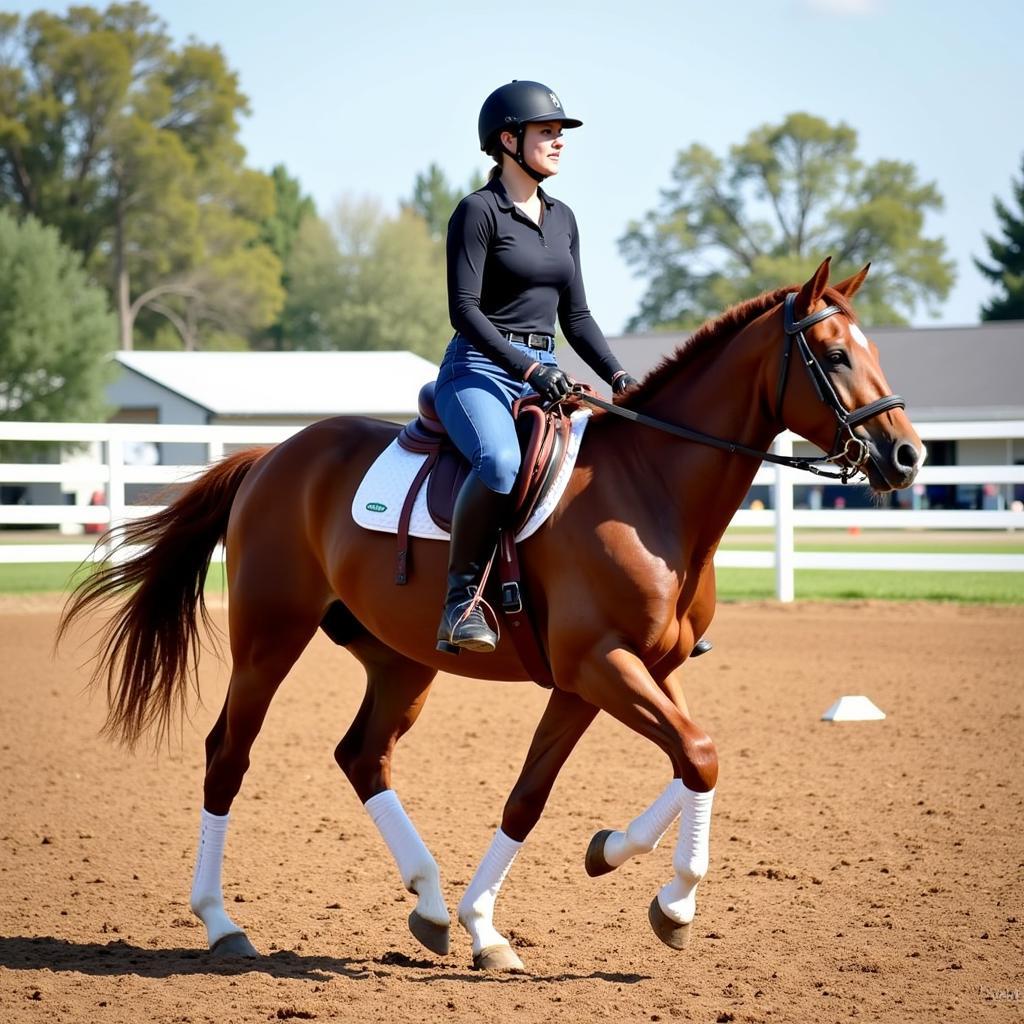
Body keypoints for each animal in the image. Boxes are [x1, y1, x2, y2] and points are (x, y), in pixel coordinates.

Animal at [66, 260, 929, 970]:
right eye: (836, 355)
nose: (908, 457)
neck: (650, 489)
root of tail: (272, 456)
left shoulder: (628, 671)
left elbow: (637, 770)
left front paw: (578, 872)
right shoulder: (600, 665)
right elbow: (695, 755)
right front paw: (673, 902)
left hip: (401, 660)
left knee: (362, 756)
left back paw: (431, 904)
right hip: (269, 640)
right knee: (228, 755)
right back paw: (222, 924)